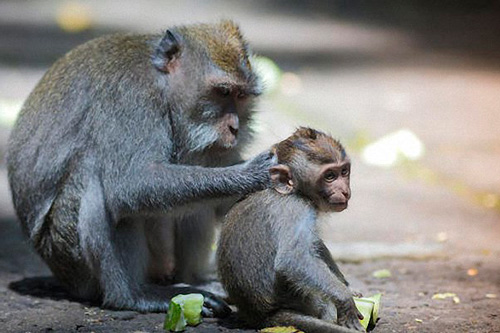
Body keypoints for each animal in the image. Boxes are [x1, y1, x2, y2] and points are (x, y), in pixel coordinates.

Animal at [6, 19, 274, 316]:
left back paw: (190, 280)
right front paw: (251, 173)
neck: (161, 83)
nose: (235, 128)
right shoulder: (131, 98)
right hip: (70, 259)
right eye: (223, 92)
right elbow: (130, 185)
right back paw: (133, 296)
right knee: (97, 180)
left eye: (241, 96)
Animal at [218, 126, 364, 330]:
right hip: (305, 300)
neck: (295, 192)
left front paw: (347, 286)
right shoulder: (296, 208)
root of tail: (261, 316)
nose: (344, 191)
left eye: (344, 171)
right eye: (330, 176)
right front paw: (345, 300)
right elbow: (293, 259)